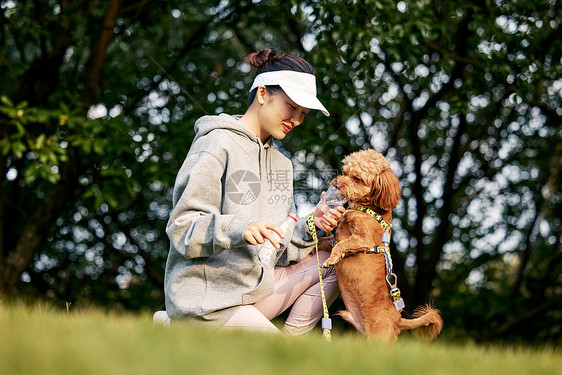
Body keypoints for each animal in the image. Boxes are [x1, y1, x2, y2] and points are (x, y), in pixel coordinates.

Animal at [318, 149, 440, 340]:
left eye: (357, 179)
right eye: (344, 172)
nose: (336, 183)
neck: (368, 209)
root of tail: (399, 321)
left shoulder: (363, 239)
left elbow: (340, 246)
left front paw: (330, 260)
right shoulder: (334, 238)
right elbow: (325, 241)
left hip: (378, 337)